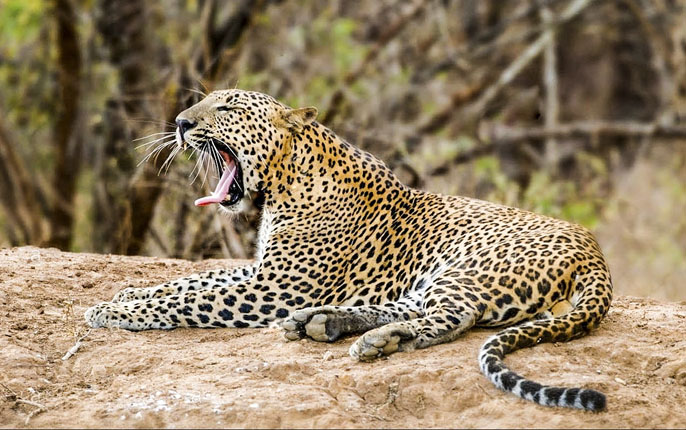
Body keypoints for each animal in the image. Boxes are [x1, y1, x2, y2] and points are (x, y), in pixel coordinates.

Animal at [85, 89, 613, 411]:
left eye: (228, 108)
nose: (179, 122)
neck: (283, 183)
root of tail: (594, 250)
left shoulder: (277, 287)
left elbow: (193, 298)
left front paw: (113, 311)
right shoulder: (262, 272)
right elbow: (191, 281)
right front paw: (127, 294)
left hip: (467, 270)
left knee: (453, 319)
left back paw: (378, 340)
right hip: (430, 280)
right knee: (405, 306)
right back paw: (327, 324)